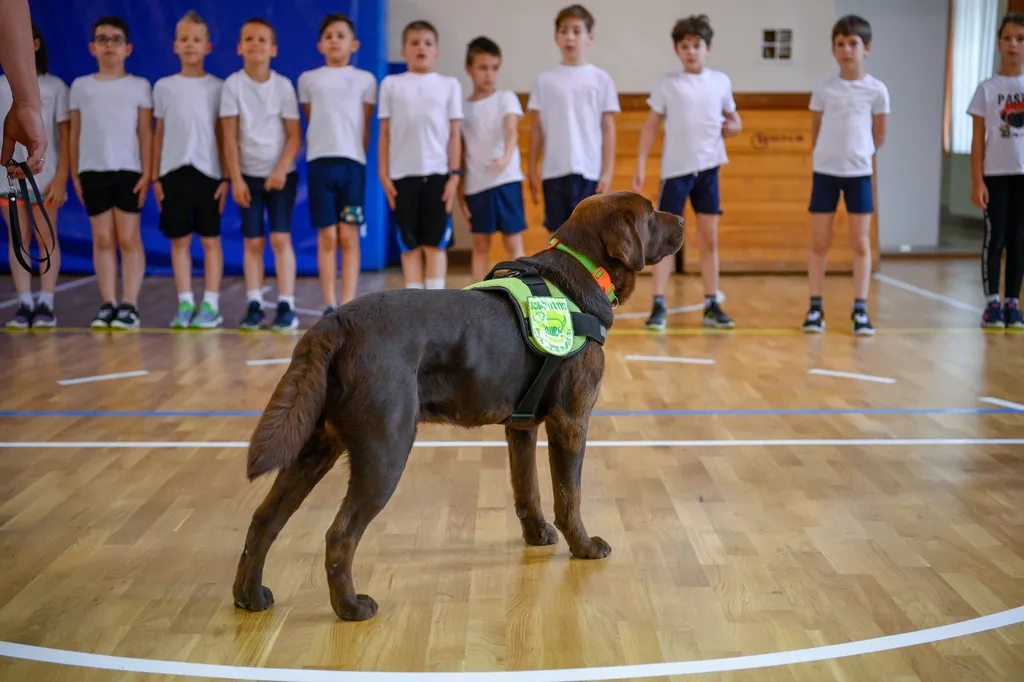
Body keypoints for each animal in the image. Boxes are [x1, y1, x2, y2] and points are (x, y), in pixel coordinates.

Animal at [231, 188, 679, 618]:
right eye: (650, 212)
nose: (680, 219)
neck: (582, 272)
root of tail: (335, 322)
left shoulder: (521, 427)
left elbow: (528, 491)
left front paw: (537, 536)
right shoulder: (571, 420)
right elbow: (570, 496)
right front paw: (584, 547)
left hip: (315, 445)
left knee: (263, 520)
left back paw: (249, 597)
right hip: (386, 450)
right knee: (339, 535)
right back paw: (351, 608)